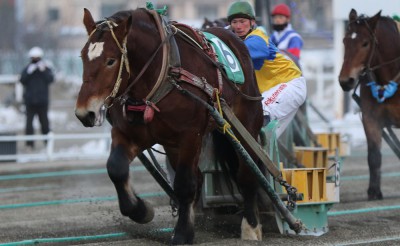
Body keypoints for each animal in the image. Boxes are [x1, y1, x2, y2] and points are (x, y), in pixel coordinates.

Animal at [76, 7, 266, 244]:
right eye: (83, 56)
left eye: (111, 61)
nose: (84, 113)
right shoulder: (128, 133)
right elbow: (116, 168)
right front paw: (141, 210)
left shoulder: (190, 136)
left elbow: (185, 184)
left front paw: (182, 233)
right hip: (173, 145)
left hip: (247, 124)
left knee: (247, 175)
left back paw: (251, 227)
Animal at [340, 9, 400, 200]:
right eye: (345, 41)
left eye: (365, 43)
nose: (345, 81)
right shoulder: (370, 119)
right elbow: (374, 156)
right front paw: (374, 190)